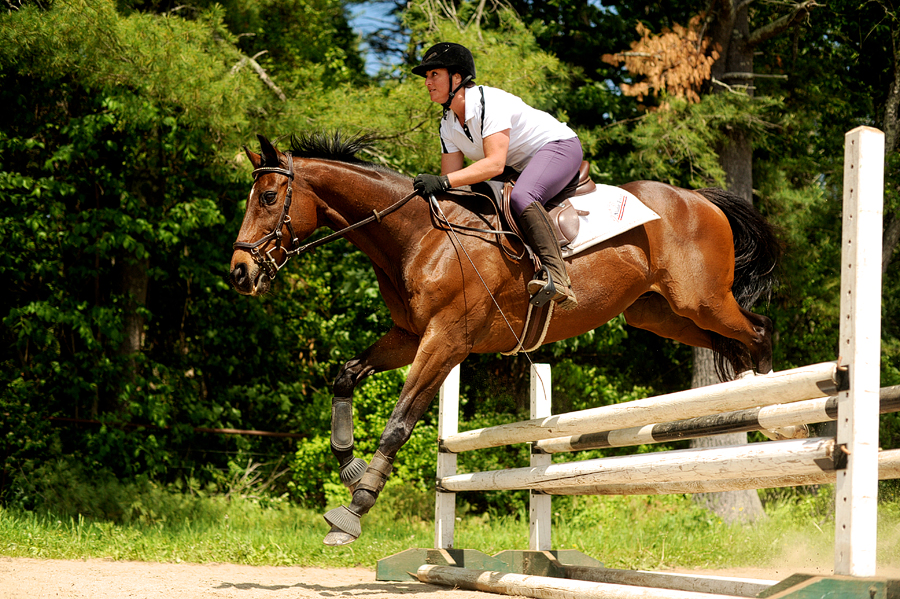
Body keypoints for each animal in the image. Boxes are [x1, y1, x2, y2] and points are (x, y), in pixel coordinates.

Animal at [230, 131, 780, 548]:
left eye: (269, 198)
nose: (239, 273)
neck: (416, 236)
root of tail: (700, 199)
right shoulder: (408, 336)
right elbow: (345, 376)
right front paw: (348, 463)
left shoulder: (445, 341)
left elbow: (399, 423)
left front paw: (353, 511)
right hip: (659, 314)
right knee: (735, 340)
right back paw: (750, 396)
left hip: (701, 299)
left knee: (758, 330)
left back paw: (772, 406)